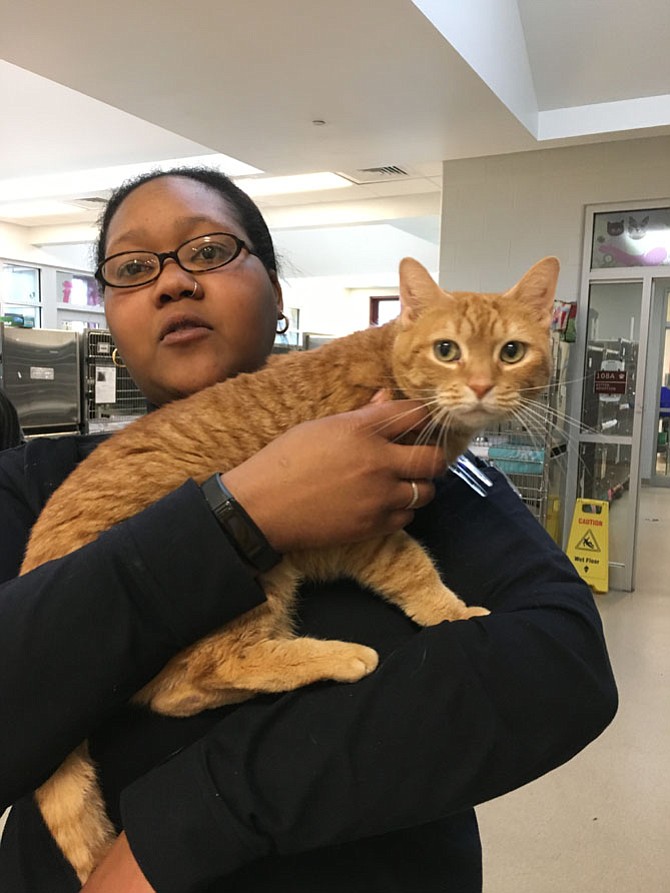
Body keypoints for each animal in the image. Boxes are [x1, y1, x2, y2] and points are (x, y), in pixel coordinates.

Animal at [21, 254, 560, 880]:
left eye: (511, 352)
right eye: (447, 350)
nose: (479, 386)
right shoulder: (366, 528)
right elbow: (415, 569)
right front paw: (450, 613)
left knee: (175, 694)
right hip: (262, 578)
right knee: (212, 669)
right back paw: (341, 656)